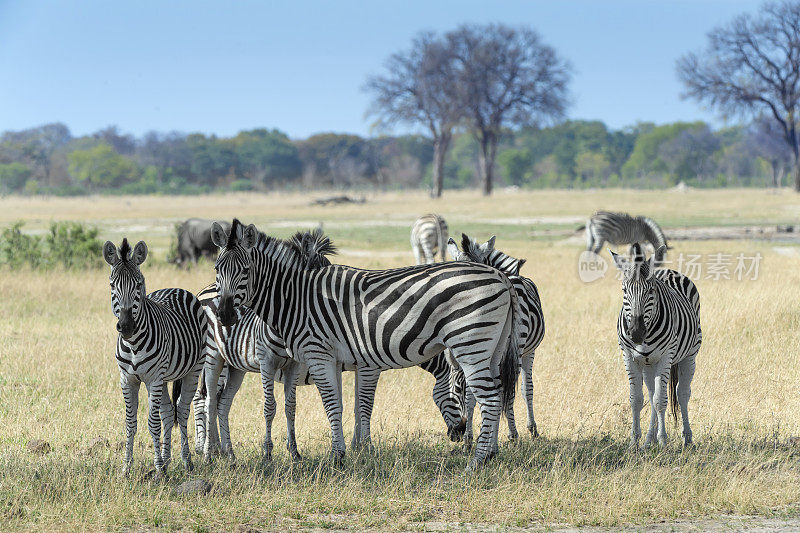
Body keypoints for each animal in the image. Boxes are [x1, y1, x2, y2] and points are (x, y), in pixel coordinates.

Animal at [103, 237, 208, 474]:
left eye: (139, 284)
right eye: (113, 285)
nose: (126, 327)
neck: (133, 344)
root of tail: (175, 288)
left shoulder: (153, 379)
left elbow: (153, 423)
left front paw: (158, 469)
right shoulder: (127, 379)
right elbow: (130, 423)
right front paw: (127, 467)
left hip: (192, 369)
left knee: (182, 409)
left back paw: (186, 461)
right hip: (165, 377)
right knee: (169, 412)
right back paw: (168, 459)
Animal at [209, 218, 520, 468]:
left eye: (245, 270)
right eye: (216, 268)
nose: (224, 314)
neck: (296, 297)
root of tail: (501, 277)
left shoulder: (320, 354)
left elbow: (338, 404)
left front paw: (339, 457)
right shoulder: (335, 358)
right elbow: (342, 404)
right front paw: (345, 451)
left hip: (471, 344)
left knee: (490, 398)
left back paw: (477, 461)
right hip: (493, 348)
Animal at [446, 233, 548, 444]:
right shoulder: (529, 352)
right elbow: (527, 389)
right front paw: (530, 428)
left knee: (474, 392)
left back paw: (469, 438)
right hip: (515, 349)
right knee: (508, 391)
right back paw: (512, 434)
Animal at [612, 243, 700, 446]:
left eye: (651, 291)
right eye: (624, 290)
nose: (636, 332)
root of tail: (668, 271)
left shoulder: (666, 356)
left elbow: (661, 399)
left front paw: (663, 440)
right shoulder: (629, 356)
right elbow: (637, 399)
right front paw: (635, 441)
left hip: (690, 355)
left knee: (682, 393)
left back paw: (687, 438)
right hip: (648, 364)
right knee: (651, 395)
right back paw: (648, 440)